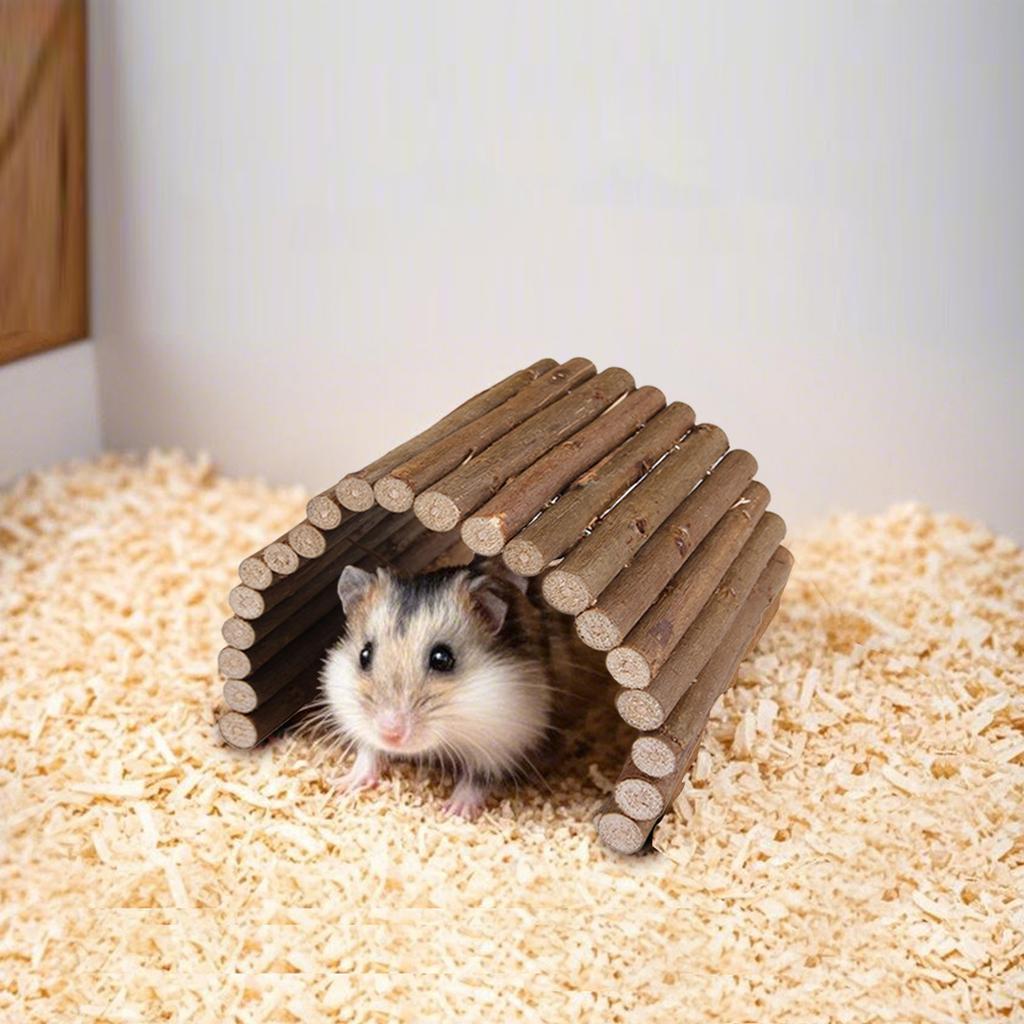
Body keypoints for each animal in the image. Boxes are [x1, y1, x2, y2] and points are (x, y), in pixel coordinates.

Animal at [320, 558, 558, 819]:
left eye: (442, 659)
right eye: (364, 655)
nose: (390, 735)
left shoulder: (502, 742)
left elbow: (476, 779)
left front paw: (453, 811)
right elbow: (368, 751)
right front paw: (342, 784)